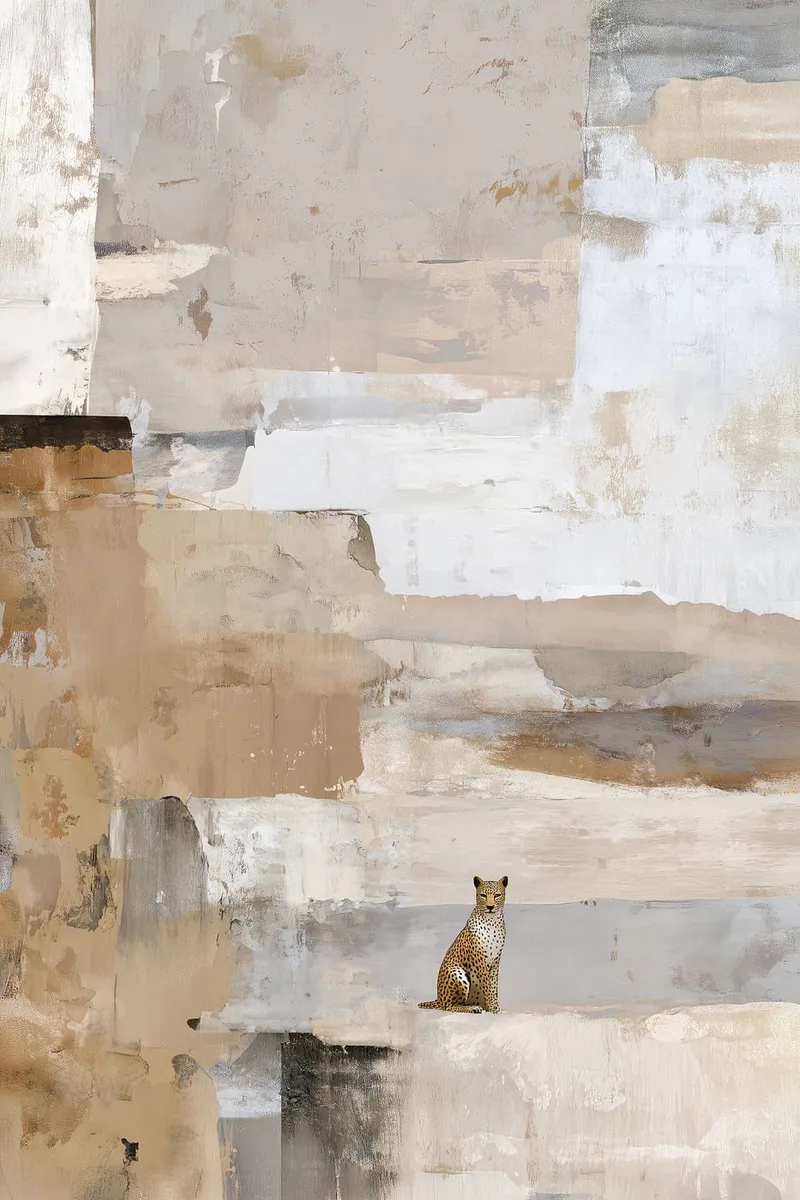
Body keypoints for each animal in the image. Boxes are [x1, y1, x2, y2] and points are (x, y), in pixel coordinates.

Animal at [418, 874, 508, 1013]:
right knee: (449, 1006)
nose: (490, 907)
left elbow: (493, 986)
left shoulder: (495, 960)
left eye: (497, 895)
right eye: (483, 895)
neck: (492, 921)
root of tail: (438, 999)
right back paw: (473, 1008)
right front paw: (493, 1008)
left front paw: (496, 1007)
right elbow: (487, 986)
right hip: (457, 973)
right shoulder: (480, 960)